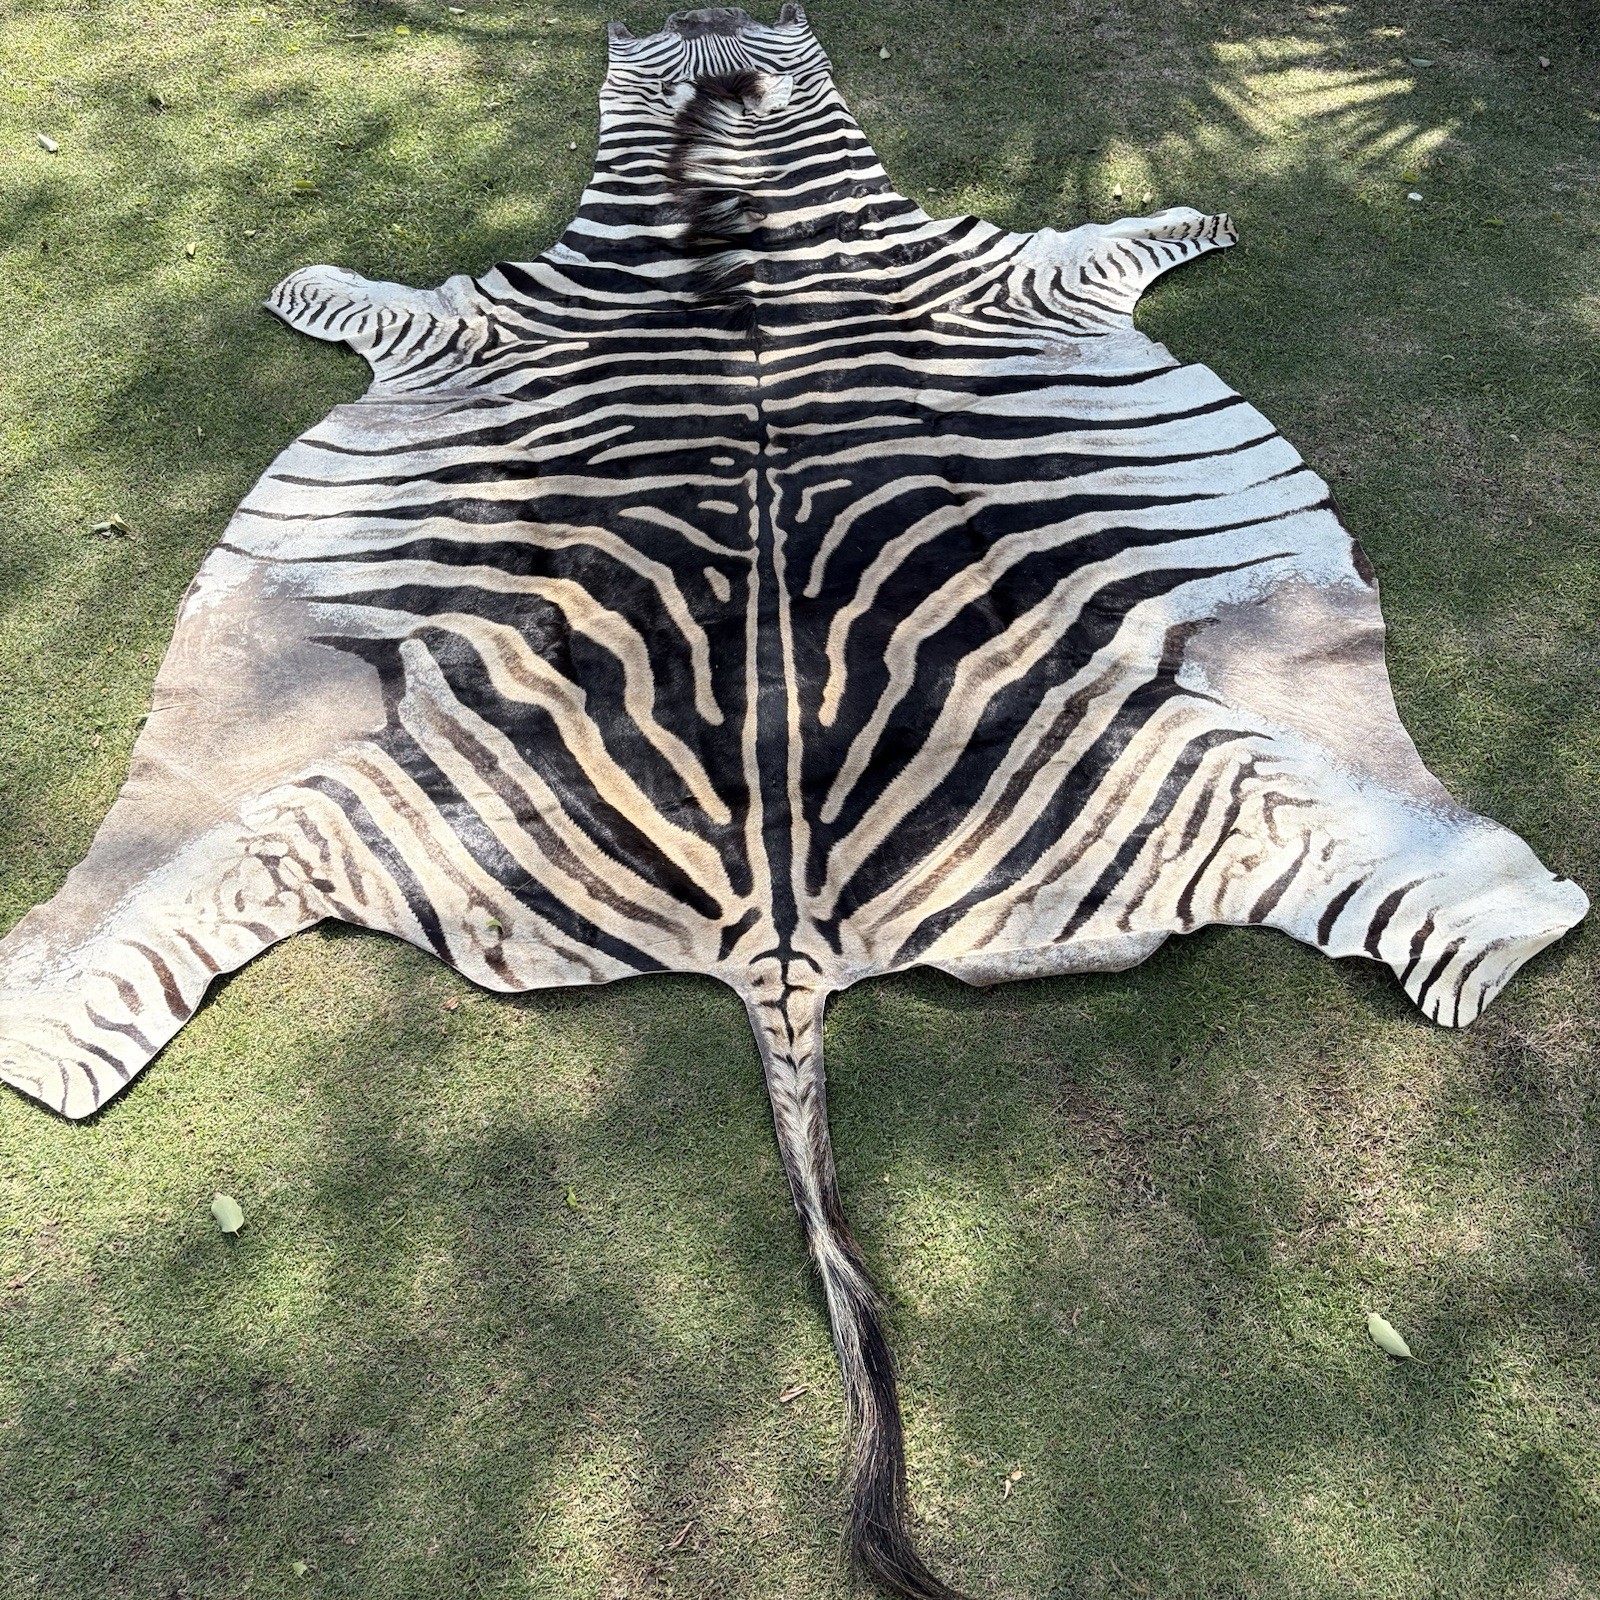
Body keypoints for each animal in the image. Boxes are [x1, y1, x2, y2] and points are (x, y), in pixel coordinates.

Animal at [0, 6, 1585, 1596]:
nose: (705, 23)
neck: (737, 197)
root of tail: (780, 935)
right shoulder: (522, 313)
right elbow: (367, 296)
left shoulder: (955, 273)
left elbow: (1123, 232)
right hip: (302, 761)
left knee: (1429, 903)